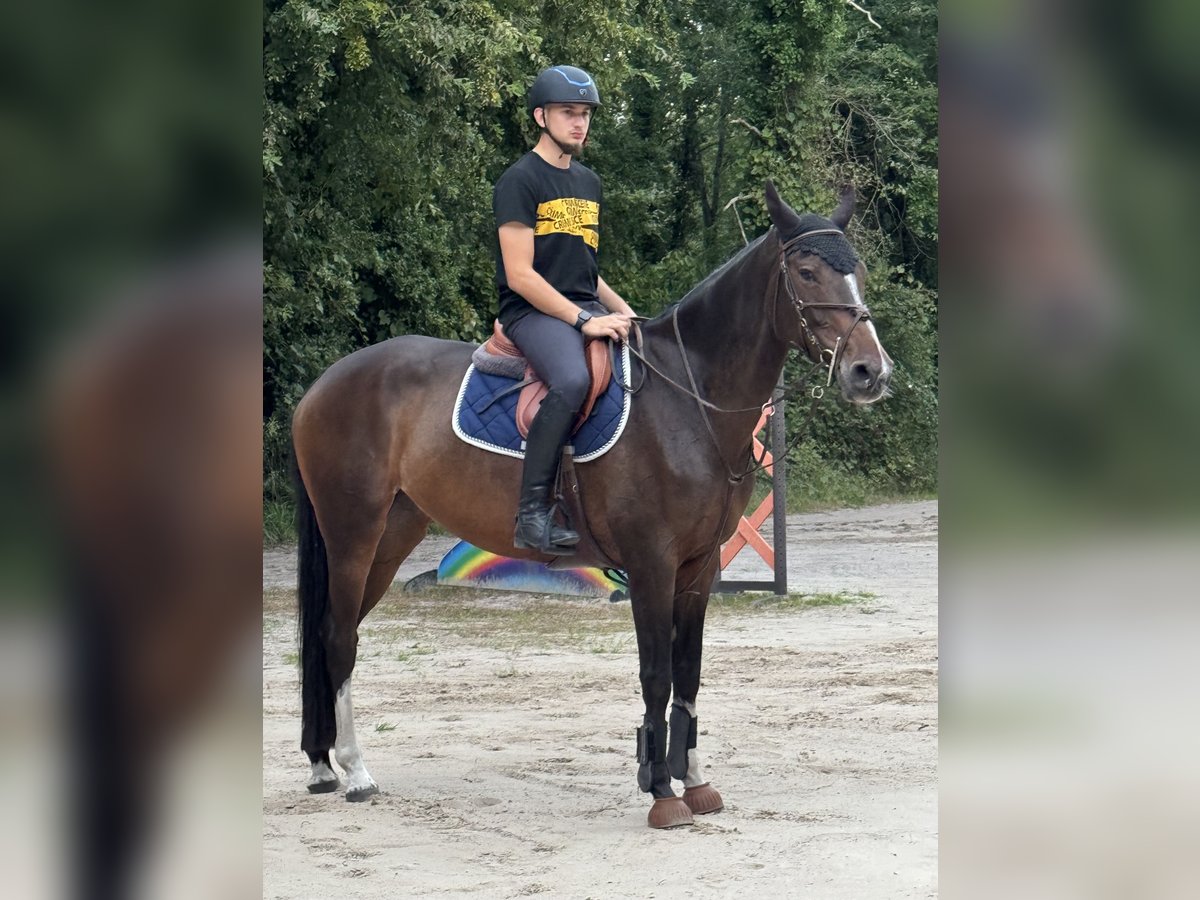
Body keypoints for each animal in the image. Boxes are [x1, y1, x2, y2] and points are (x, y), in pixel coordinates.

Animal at [292, 181, 893, 828]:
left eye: (857, 271)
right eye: (806, 272)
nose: (871, 371)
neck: (689, 398)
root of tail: (324, 383)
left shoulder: (699, 567)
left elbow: (689, 672)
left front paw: (695, 781)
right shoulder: (651, 563)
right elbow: (657, 674)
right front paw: (661, 790)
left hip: (392, 535)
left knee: (336, 633)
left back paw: (323, 765)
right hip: (353, 534)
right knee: (337, 636)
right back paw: (354, 772)